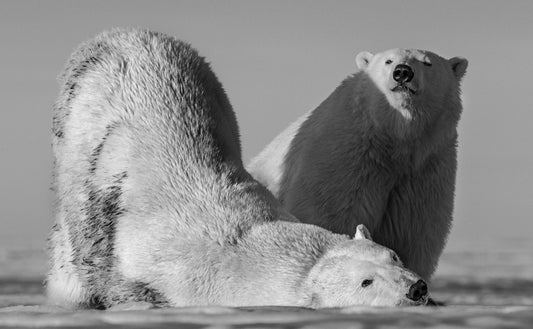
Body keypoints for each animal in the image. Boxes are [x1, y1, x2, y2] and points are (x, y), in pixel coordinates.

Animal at [247, 48, 468, 280]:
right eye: (388, 60)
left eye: (427, 63)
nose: (402, 72)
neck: (393, 142)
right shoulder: (345, 161)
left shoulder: (424, 171)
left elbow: (413, 235)